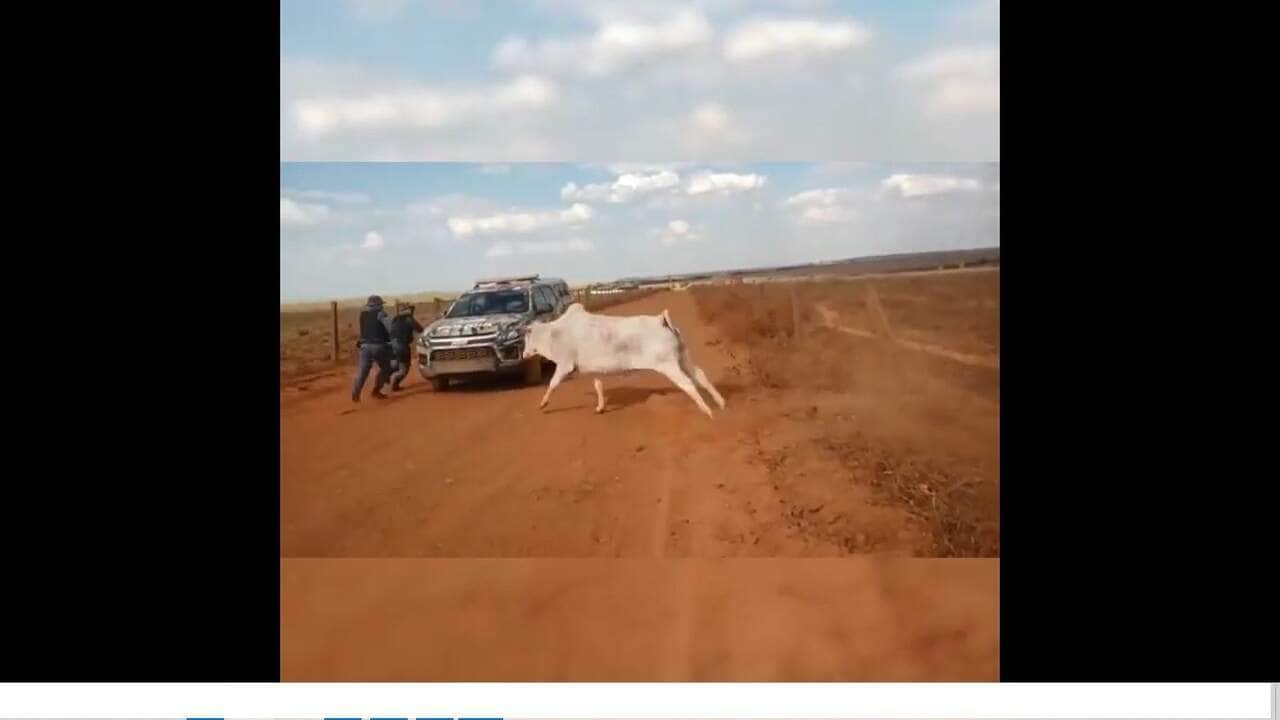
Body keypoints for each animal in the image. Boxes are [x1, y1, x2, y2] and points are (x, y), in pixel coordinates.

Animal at [517, 301, 721, 415]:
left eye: (526, 337)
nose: (524, 354)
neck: (554, 333)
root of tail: (660, 320)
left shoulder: (565, 364)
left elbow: (552, 384)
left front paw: (543, 404)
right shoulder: (593, 370)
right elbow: (598, 386)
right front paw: (600, 408)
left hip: (668, 364)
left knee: (688, 384)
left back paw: (707, 412)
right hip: (683, 357)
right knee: (700, 376)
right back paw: (721, 404)